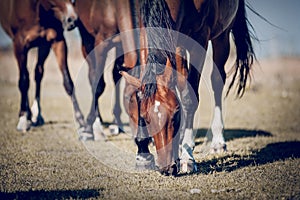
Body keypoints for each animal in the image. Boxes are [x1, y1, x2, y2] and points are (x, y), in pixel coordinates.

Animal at [0, 0, 85, 131]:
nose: (72, 20)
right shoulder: (19, 45)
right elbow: (23, 81)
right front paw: (23, 118)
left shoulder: (56, 41)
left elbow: (68, 82)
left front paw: (81, 121)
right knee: (26, 77)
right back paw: (27, 116)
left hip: (43, 46)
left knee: (38, 73)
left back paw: (36, 115)